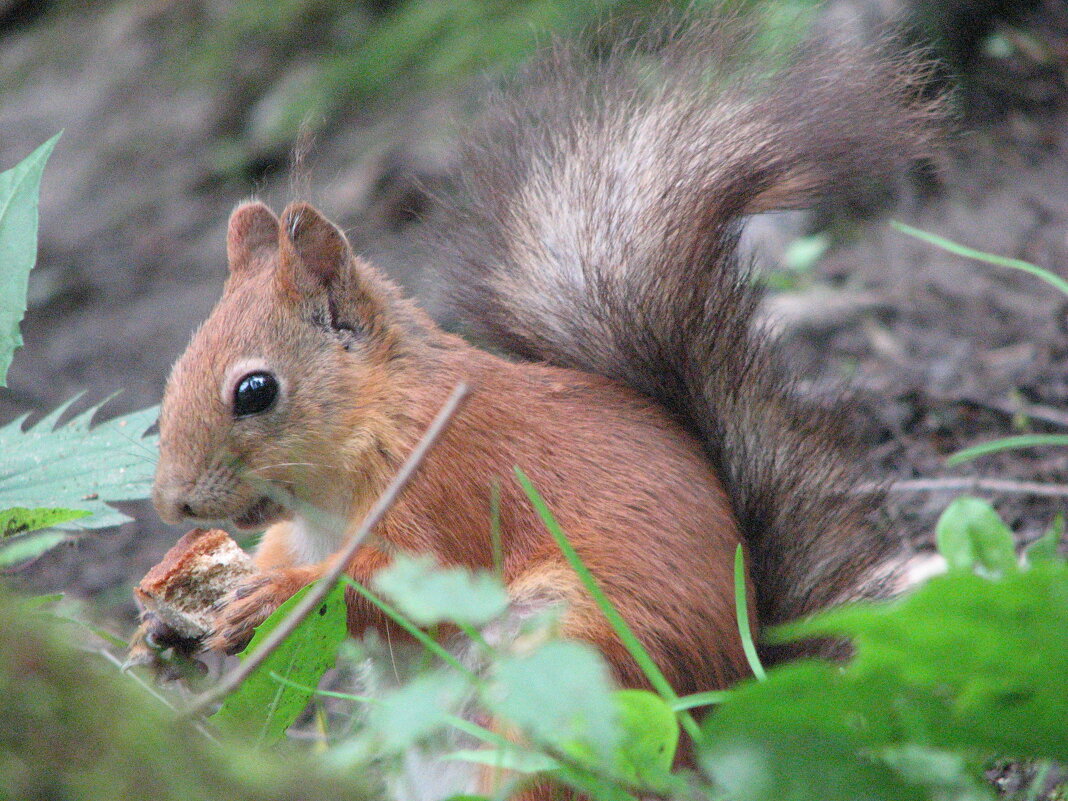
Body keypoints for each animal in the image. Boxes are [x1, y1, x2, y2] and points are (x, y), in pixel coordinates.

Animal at [148, 10, 935, 739]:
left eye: (255, 391)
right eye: (178, 365)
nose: (172, 504)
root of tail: (732, 701)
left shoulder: (449, 490)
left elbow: (399, 588)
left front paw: (274, 597)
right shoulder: (303, 528)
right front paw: (164, 626)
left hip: (572, 656)